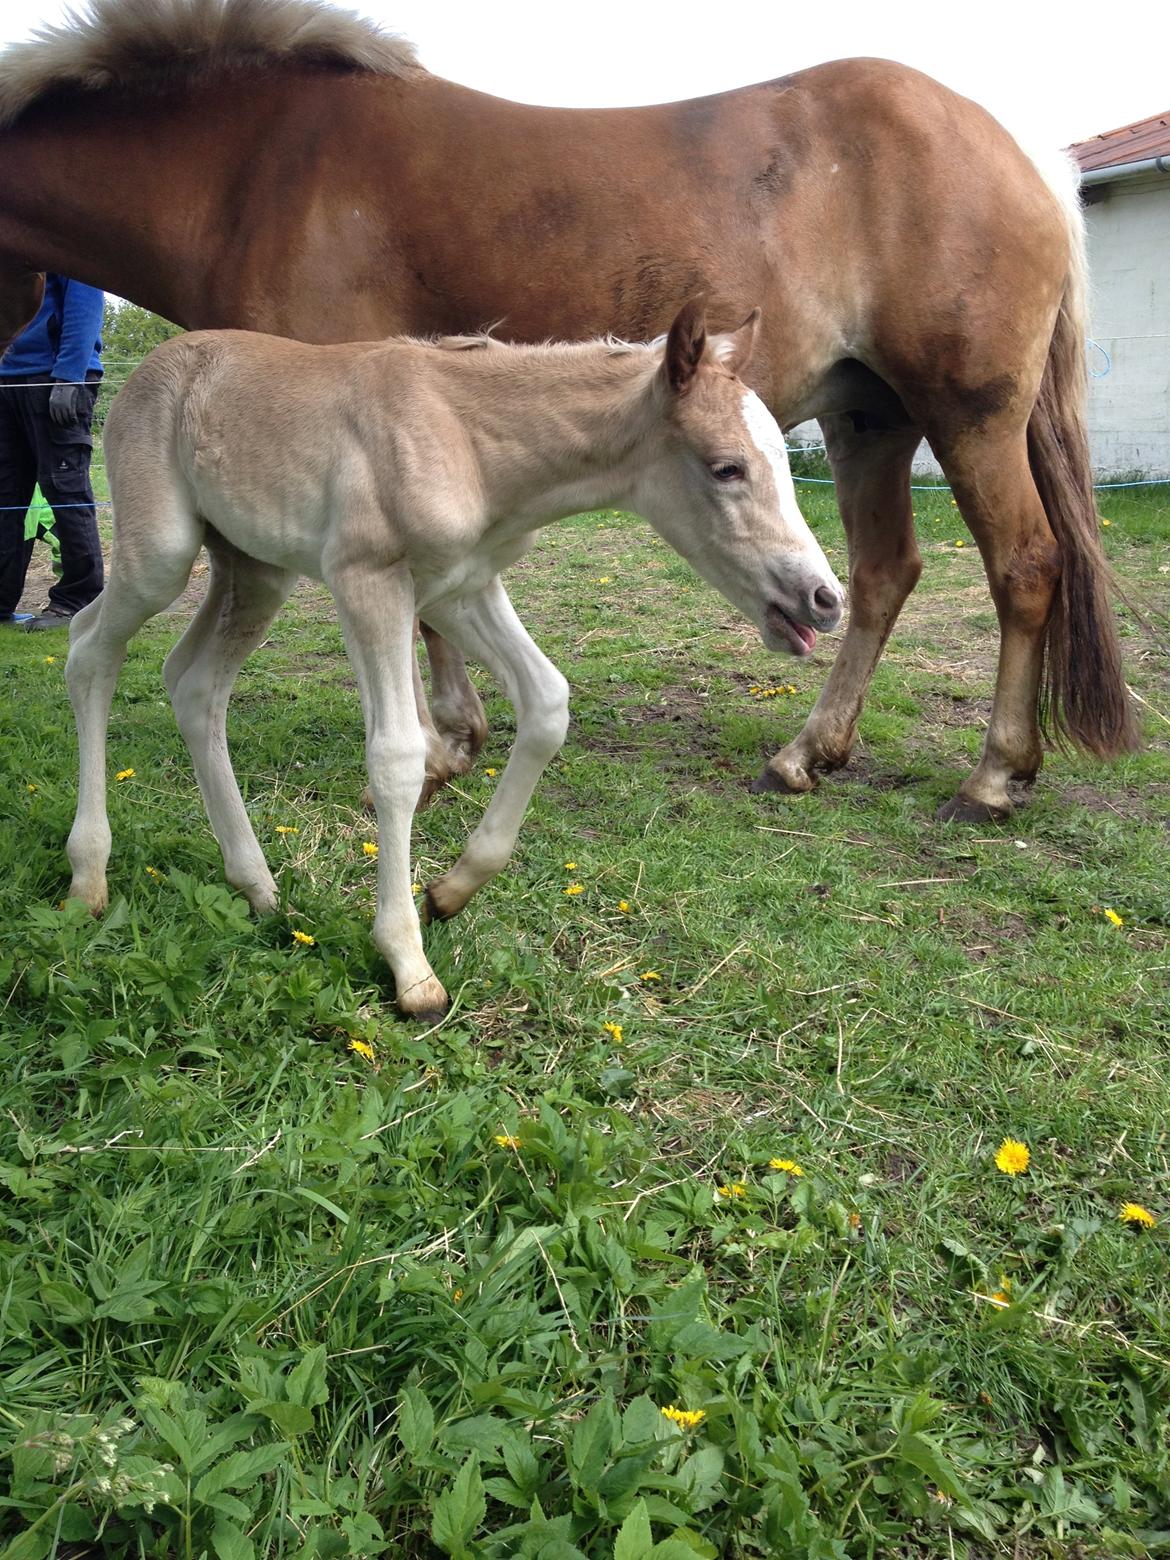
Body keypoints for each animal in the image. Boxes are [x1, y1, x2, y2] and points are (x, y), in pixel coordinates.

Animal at [0, 0, 1135, 829]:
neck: (255, 166)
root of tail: (1028, 153)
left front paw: (447, 743)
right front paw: (459, 737)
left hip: (969, 415)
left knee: (1025, 566)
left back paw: (994, 775)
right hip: (872, 422)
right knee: (884, 573)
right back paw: (810, 753)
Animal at [66, 297, 842, 1017]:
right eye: (726, 468)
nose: (825, 599)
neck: (469, 439)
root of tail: (151, 368)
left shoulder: (464, 588)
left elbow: (547, 703)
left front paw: (450, 892)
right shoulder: (369, 580)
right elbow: (398, 756)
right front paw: (409, 966)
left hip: (256, 572)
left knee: (194, 685)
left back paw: (255, 886)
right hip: (162, 557)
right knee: (86, 651)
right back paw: (89, 877)